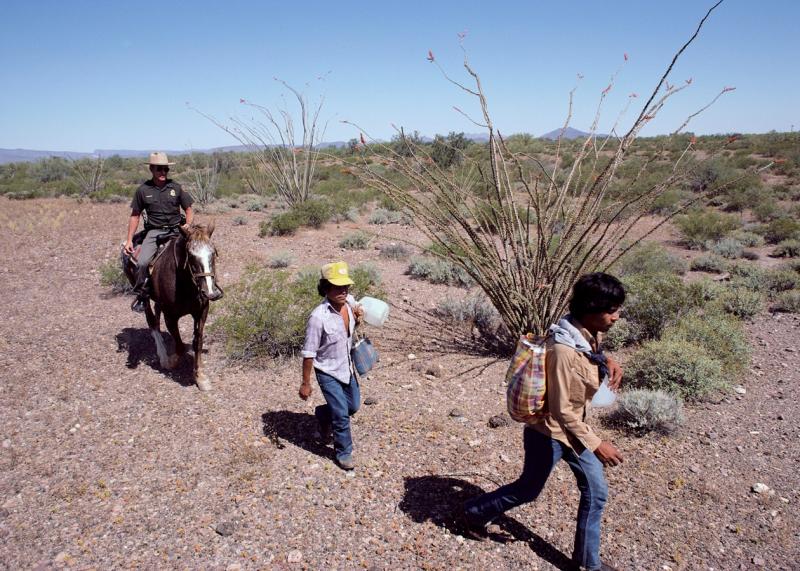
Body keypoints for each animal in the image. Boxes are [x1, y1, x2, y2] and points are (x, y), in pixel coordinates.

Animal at [125, 221, 225, 392]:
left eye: (213, 253)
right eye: (191, 256)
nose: (210, 293)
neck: (186, 285)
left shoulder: (201, 312)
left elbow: (197, 343)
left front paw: (200, 377)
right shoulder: (170, 316)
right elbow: (179, 345)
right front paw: (172, 361)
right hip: (144, 297)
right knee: (152, 321)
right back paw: (163, 356)